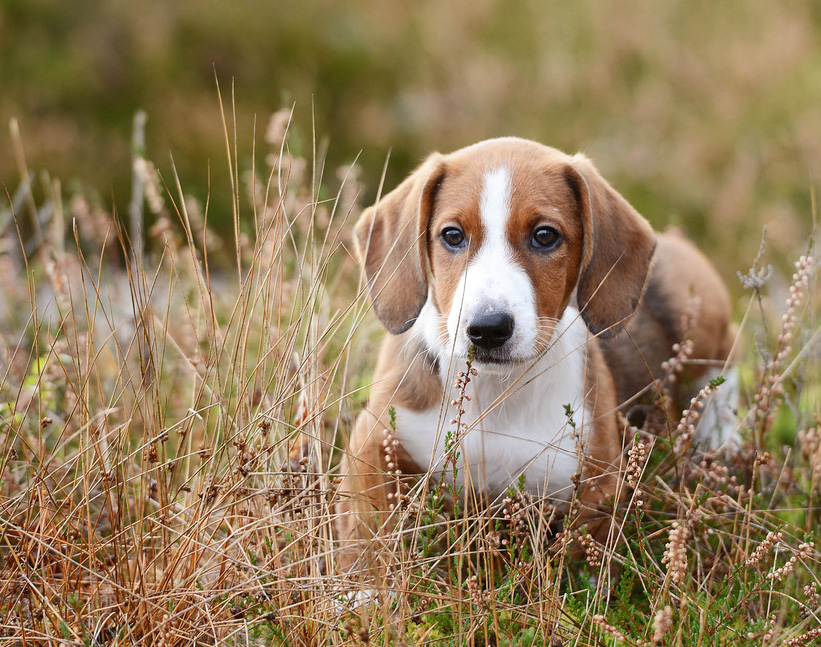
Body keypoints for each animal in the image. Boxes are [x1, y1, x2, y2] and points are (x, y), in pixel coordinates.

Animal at [334, 139, 736, 576]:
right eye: (452, 235)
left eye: (545, 236)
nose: (488, 329)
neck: (495, 392)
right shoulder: (370, 445)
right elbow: (366, 534)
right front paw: (363, 588)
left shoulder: (595, 488)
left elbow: (579, 566)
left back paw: (725, 443)